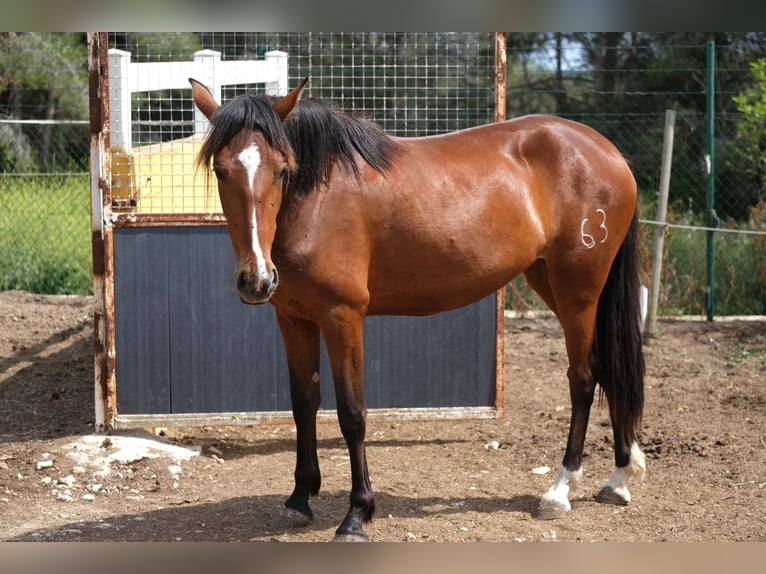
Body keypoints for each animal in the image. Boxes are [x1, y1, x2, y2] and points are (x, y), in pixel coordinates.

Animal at [189, 79, 644, 544]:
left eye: (282, 170)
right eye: (221, 171)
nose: (256, 279)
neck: (318, 196)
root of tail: (608, 152)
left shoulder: (342, 316)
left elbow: (352, 414)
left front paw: (357, 515)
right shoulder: (293, 318)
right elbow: (304, 405)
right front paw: (299, 498)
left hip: (578, 290)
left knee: (583, 378)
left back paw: (560, 490)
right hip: (549, 280)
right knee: (609, 367)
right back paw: (620, 478)